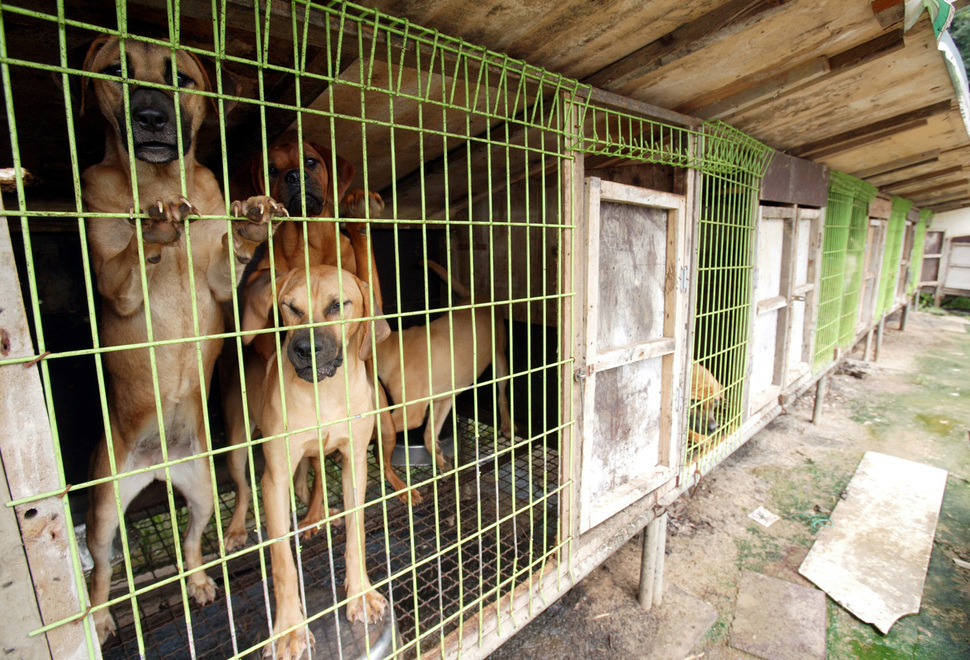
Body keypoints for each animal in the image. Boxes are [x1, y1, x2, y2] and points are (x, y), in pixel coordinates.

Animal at [80, 36, 286, 644]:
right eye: (115, 70)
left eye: (182, 79)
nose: (151, 116)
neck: (158, 180)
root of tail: (156, 463)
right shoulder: (114, 287)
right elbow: (128, 261)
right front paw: (153, 228)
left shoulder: (220, 285)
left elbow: (230, 255)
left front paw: (252, 223)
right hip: (104, 509)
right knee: (102, 572)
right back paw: (99, 617)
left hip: (199, 491)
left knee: (193, 543)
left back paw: (196, 581)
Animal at [231, 266, 390, 656]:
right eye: (290, 307)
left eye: (338, 305)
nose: (304, 350)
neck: (324, 393)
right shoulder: (274, 479)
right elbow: (282, 562)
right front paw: (289, 628)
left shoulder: (354, 464)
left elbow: (356, 535)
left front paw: (361, 594)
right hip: (239, 443)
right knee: (243, 487)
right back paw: (238, 530)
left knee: (310, 481)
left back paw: (319, 513)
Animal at [370, 260, 516, 472]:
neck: (390, 349)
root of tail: (476, 296)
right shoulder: (443, 398)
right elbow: (429, 434)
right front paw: (441, 462)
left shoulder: (410, 413)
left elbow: (375, 430)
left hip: (500, 360)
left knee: (502, 395)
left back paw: (506, 426)